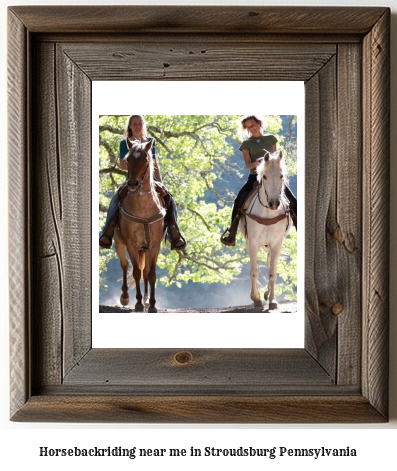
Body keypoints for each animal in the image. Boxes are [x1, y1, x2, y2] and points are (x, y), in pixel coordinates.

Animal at [113, 138, 165, 312]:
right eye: (128, 159)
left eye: (146, 160)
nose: (133, 184)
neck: (143, 210)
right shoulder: (131, 245)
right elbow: (135, 272)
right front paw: (137, 303)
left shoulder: (154, 245)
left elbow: (151, 274)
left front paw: (152, 305)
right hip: (119, 242)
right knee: (124, 265)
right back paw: (124, 296)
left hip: (146, 249)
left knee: (146, 271)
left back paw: (147, 299)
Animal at [238, 151, 290, 312]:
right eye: (265, 176)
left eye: (281, 175)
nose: (274, 203)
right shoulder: (253, 243)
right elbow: (254, 271)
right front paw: (256, 298)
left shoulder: (276, 244)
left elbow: (272, 272)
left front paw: (272, 300)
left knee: (268, 265)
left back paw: (267, 294)